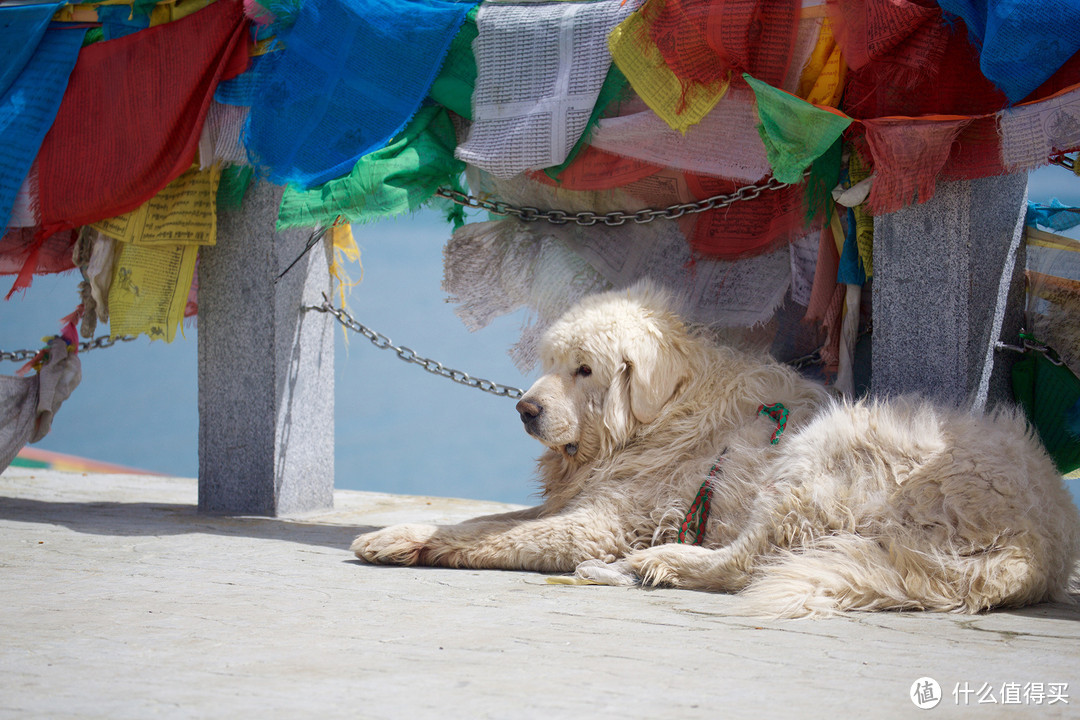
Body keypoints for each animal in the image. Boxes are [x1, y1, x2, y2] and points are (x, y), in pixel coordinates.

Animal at [354, 278, 1080, 617]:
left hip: (818, 451)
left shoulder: (597, 520)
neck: (661, 416)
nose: (524, 409)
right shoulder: (577, 503)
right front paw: (399, 535)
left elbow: (489, 536)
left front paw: (426, 545)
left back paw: (660, 561)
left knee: (745, 564)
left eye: (584, 370)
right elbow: (483, 520)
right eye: (550, 362)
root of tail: (1037, 546)